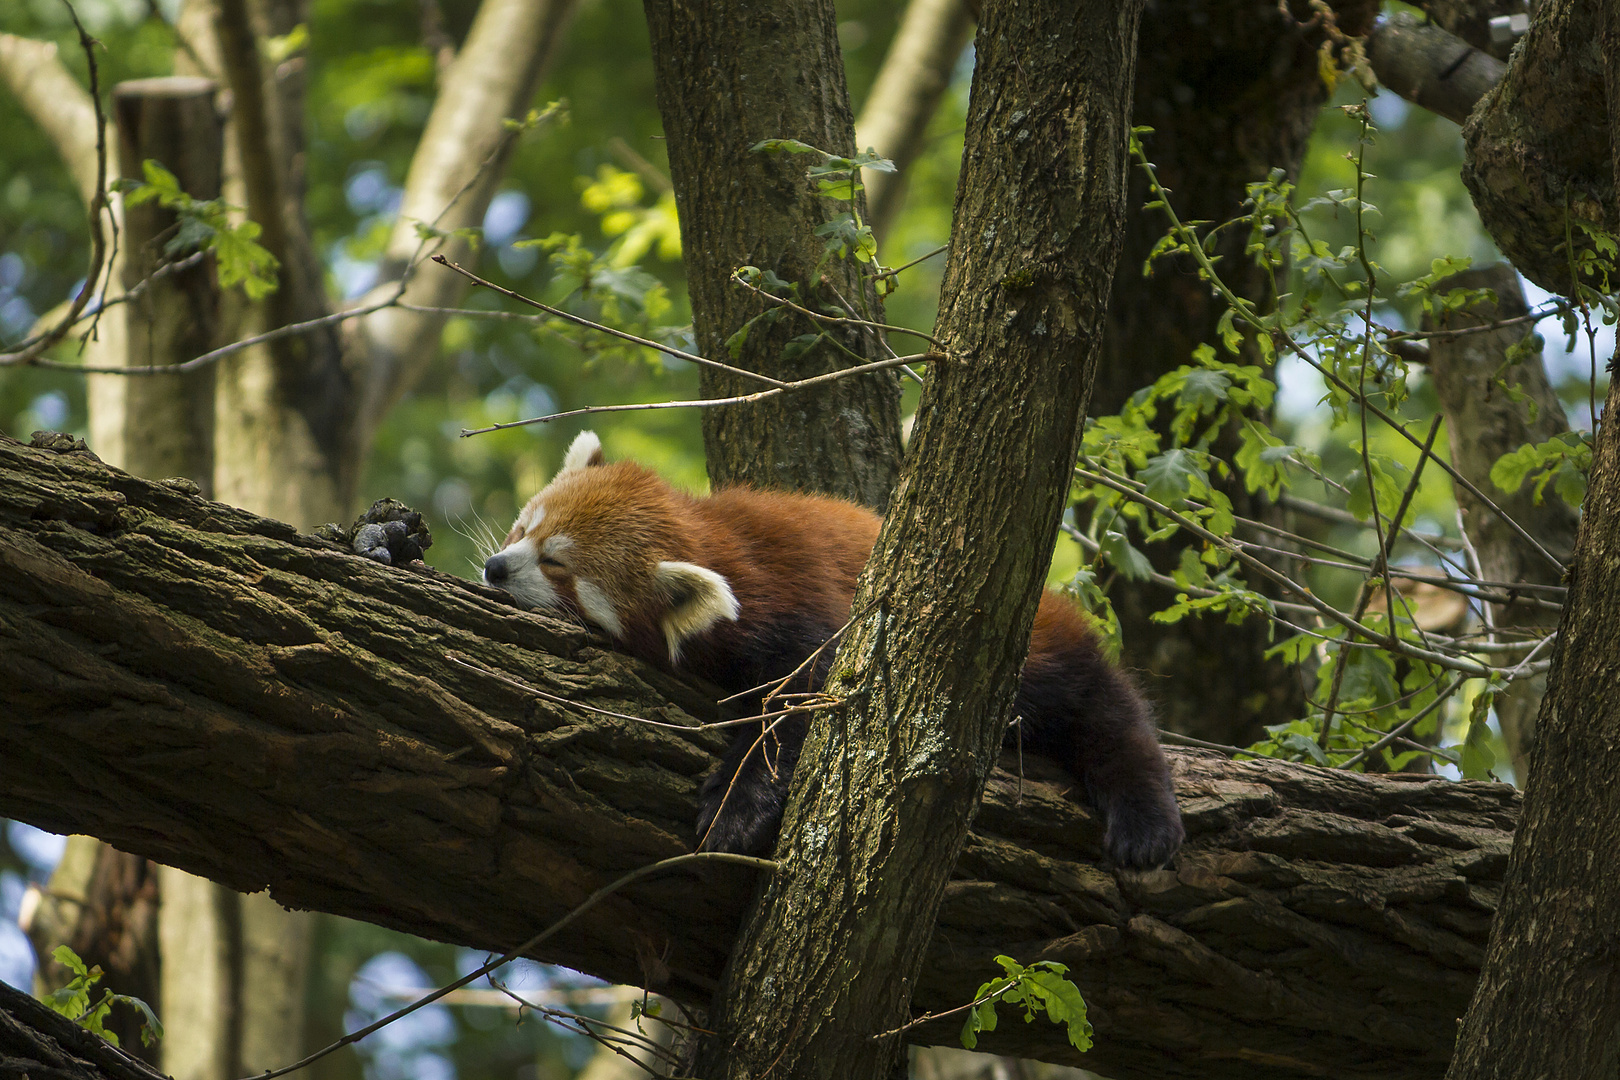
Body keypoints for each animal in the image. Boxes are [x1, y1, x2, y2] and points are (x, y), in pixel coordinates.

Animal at [486, 430, 1185, 867]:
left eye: (556, 566)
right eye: (522, 530)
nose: (495, 568)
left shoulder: (807, 612)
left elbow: (801, 711)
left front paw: (734, 810)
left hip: (1029, 645)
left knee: (1099, 704)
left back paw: (1144, 817)